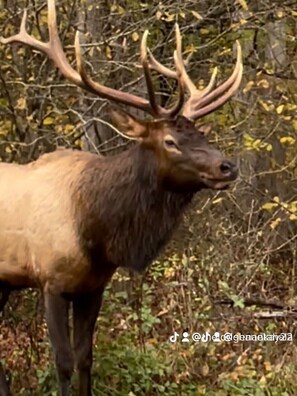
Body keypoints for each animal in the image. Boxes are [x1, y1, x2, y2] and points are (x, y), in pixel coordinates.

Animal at [0, 0, 242, 396]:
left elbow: (86, 358)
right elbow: (63, 362)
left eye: (202, 134)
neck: (95, 231)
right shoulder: (50, 280)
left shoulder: (93, 286)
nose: (227, 167)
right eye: (170, 141)